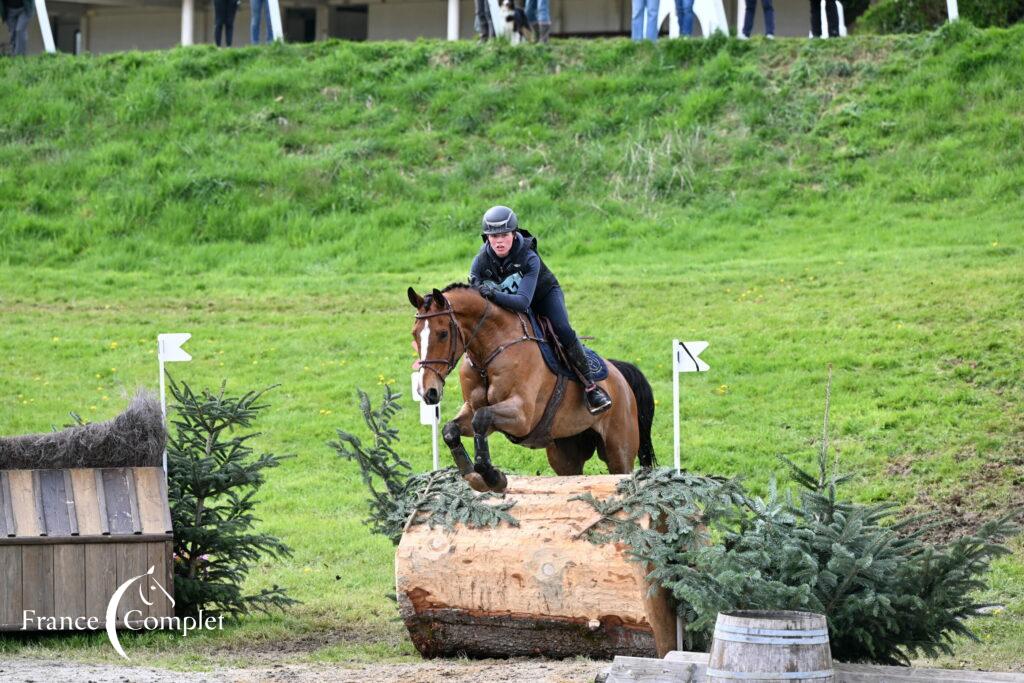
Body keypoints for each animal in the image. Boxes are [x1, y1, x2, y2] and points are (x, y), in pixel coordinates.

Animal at [403, 282, 651, 491]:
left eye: (443, 333)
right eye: (414, 334)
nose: (428, 392)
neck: (488, 353)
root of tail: (619, 375)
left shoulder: (521, 416)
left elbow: (481, 419)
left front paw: (493, 478)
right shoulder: (474, 410)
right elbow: (451, 430)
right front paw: (475, 477)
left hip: (619, 449)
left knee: (621, 469)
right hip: (565, 452)